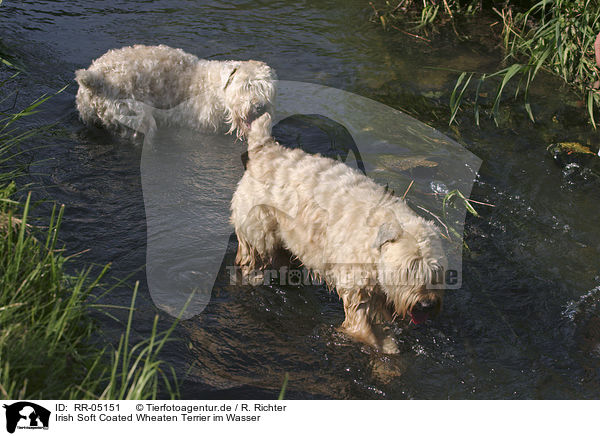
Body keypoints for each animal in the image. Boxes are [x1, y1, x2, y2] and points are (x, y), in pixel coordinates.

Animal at [232, 113, 448, 354]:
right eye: (409, 269)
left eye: (436, 270)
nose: (427, 304)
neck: (374, 244)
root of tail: (264, 150)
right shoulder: (357, 290)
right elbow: (363, 329)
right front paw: (385, 346)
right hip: (258, 234)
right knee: (252, 259)